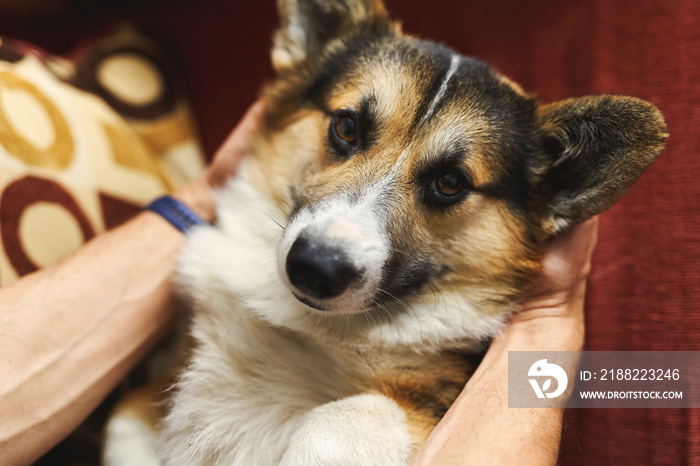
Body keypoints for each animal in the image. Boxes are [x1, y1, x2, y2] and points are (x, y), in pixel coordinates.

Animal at [102, 0, 668, 460]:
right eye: (346, 127)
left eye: (449, 182)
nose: (315, 268)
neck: (310, 326)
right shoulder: (143, 406)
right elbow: (126, 422)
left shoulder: (429, 402)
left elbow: (337, 420)